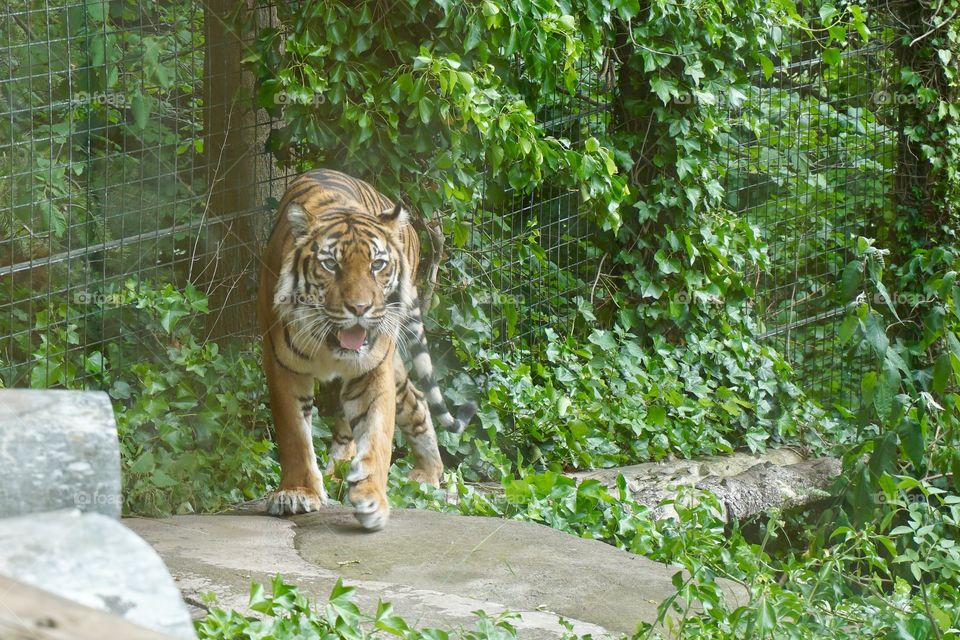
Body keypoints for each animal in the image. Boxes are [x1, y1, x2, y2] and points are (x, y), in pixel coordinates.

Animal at [257, 169, 474, 530]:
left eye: (377, 265)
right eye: (330, 265)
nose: (360, 308)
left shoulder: (373, 369)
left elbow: (377, 435)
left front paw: (372, 498)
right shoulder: (283, 366)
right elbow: (294, 435)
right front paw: (298, 492)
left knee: (413, 399)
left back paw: (425, 474)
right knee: (410, 399)